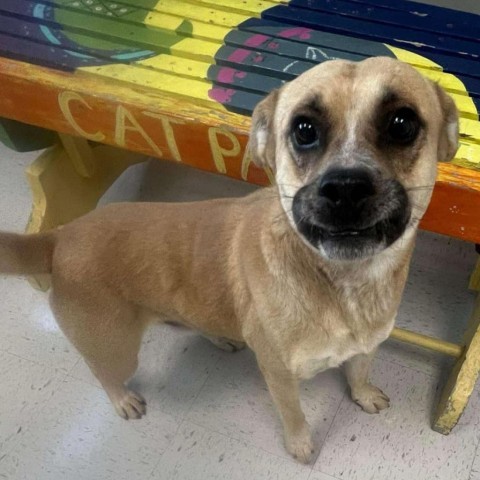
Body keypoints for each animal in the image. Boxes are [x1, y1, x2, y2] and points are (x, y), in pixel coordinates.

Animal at [0, 58, 458, 464]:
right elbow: (294, 415)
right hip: (116, 349)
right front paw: (301, 446)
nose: (345, 187)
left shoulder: (367, 345)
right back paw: (123, 398)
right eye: (304, 129)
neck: (343, 285)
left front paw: (362, 394)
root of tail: (59, 237)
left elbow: (359, 371)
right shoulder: (279, 374)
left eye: (402, 123)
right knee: (103, 372)